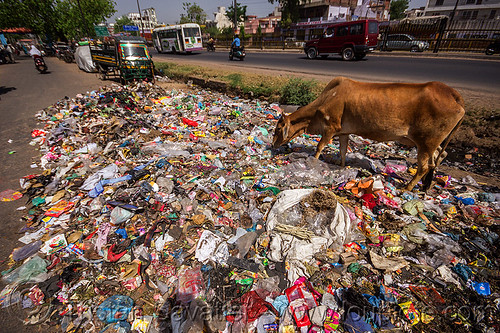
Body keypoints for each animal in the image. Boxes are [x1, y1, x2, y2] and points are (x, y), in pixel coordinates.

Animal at [274, 76, 464, 189]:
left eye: (278, 128)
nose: (273, 144)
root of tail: (452, 94)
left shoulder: (331, 128)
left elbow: (319, 147)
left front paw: (312, 164)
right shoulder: (343, 132)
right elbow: (343, 151)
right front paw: (341, 167)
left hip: (426, 142)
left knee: (425, 166)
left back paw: (408, 187)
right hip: (431, 143)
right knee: (440, 156)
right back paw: (425, 186)